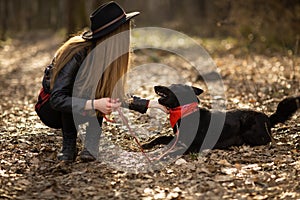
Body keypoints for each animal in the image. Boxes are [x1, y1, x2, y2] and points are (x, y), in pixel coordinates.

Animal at [142, 83, 300, 154]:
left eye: (173, 86)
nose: (155, 86)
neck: (185, 111)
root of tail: (268, 118)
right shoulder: (178, 138)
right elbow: (161, 137)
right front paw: (147, 144)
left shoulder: (191, 145)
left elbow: (171, 150)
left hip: (250, 132)